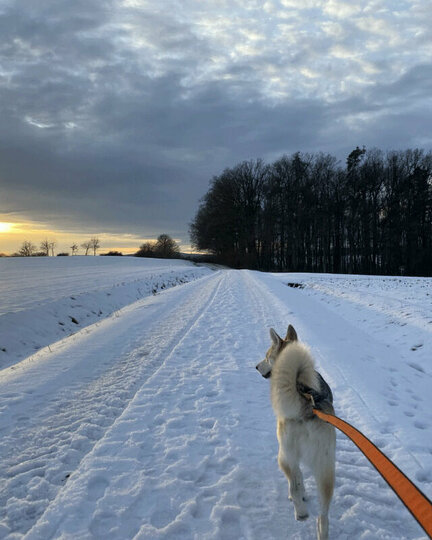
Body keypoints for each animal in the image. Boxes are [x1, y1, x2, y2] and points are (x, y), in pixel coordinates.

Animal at [256, 324, 334, 540]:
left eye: (267, 356)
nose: (256, 366)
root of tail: (307, 408)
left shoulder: (291, 456)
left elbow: (298, 479)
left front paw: (300, 495)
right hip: (326, 468)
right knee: (324, 514)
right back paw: (321, 530)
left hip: (283, 455)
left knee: (292, 483)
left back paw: (300, 511)